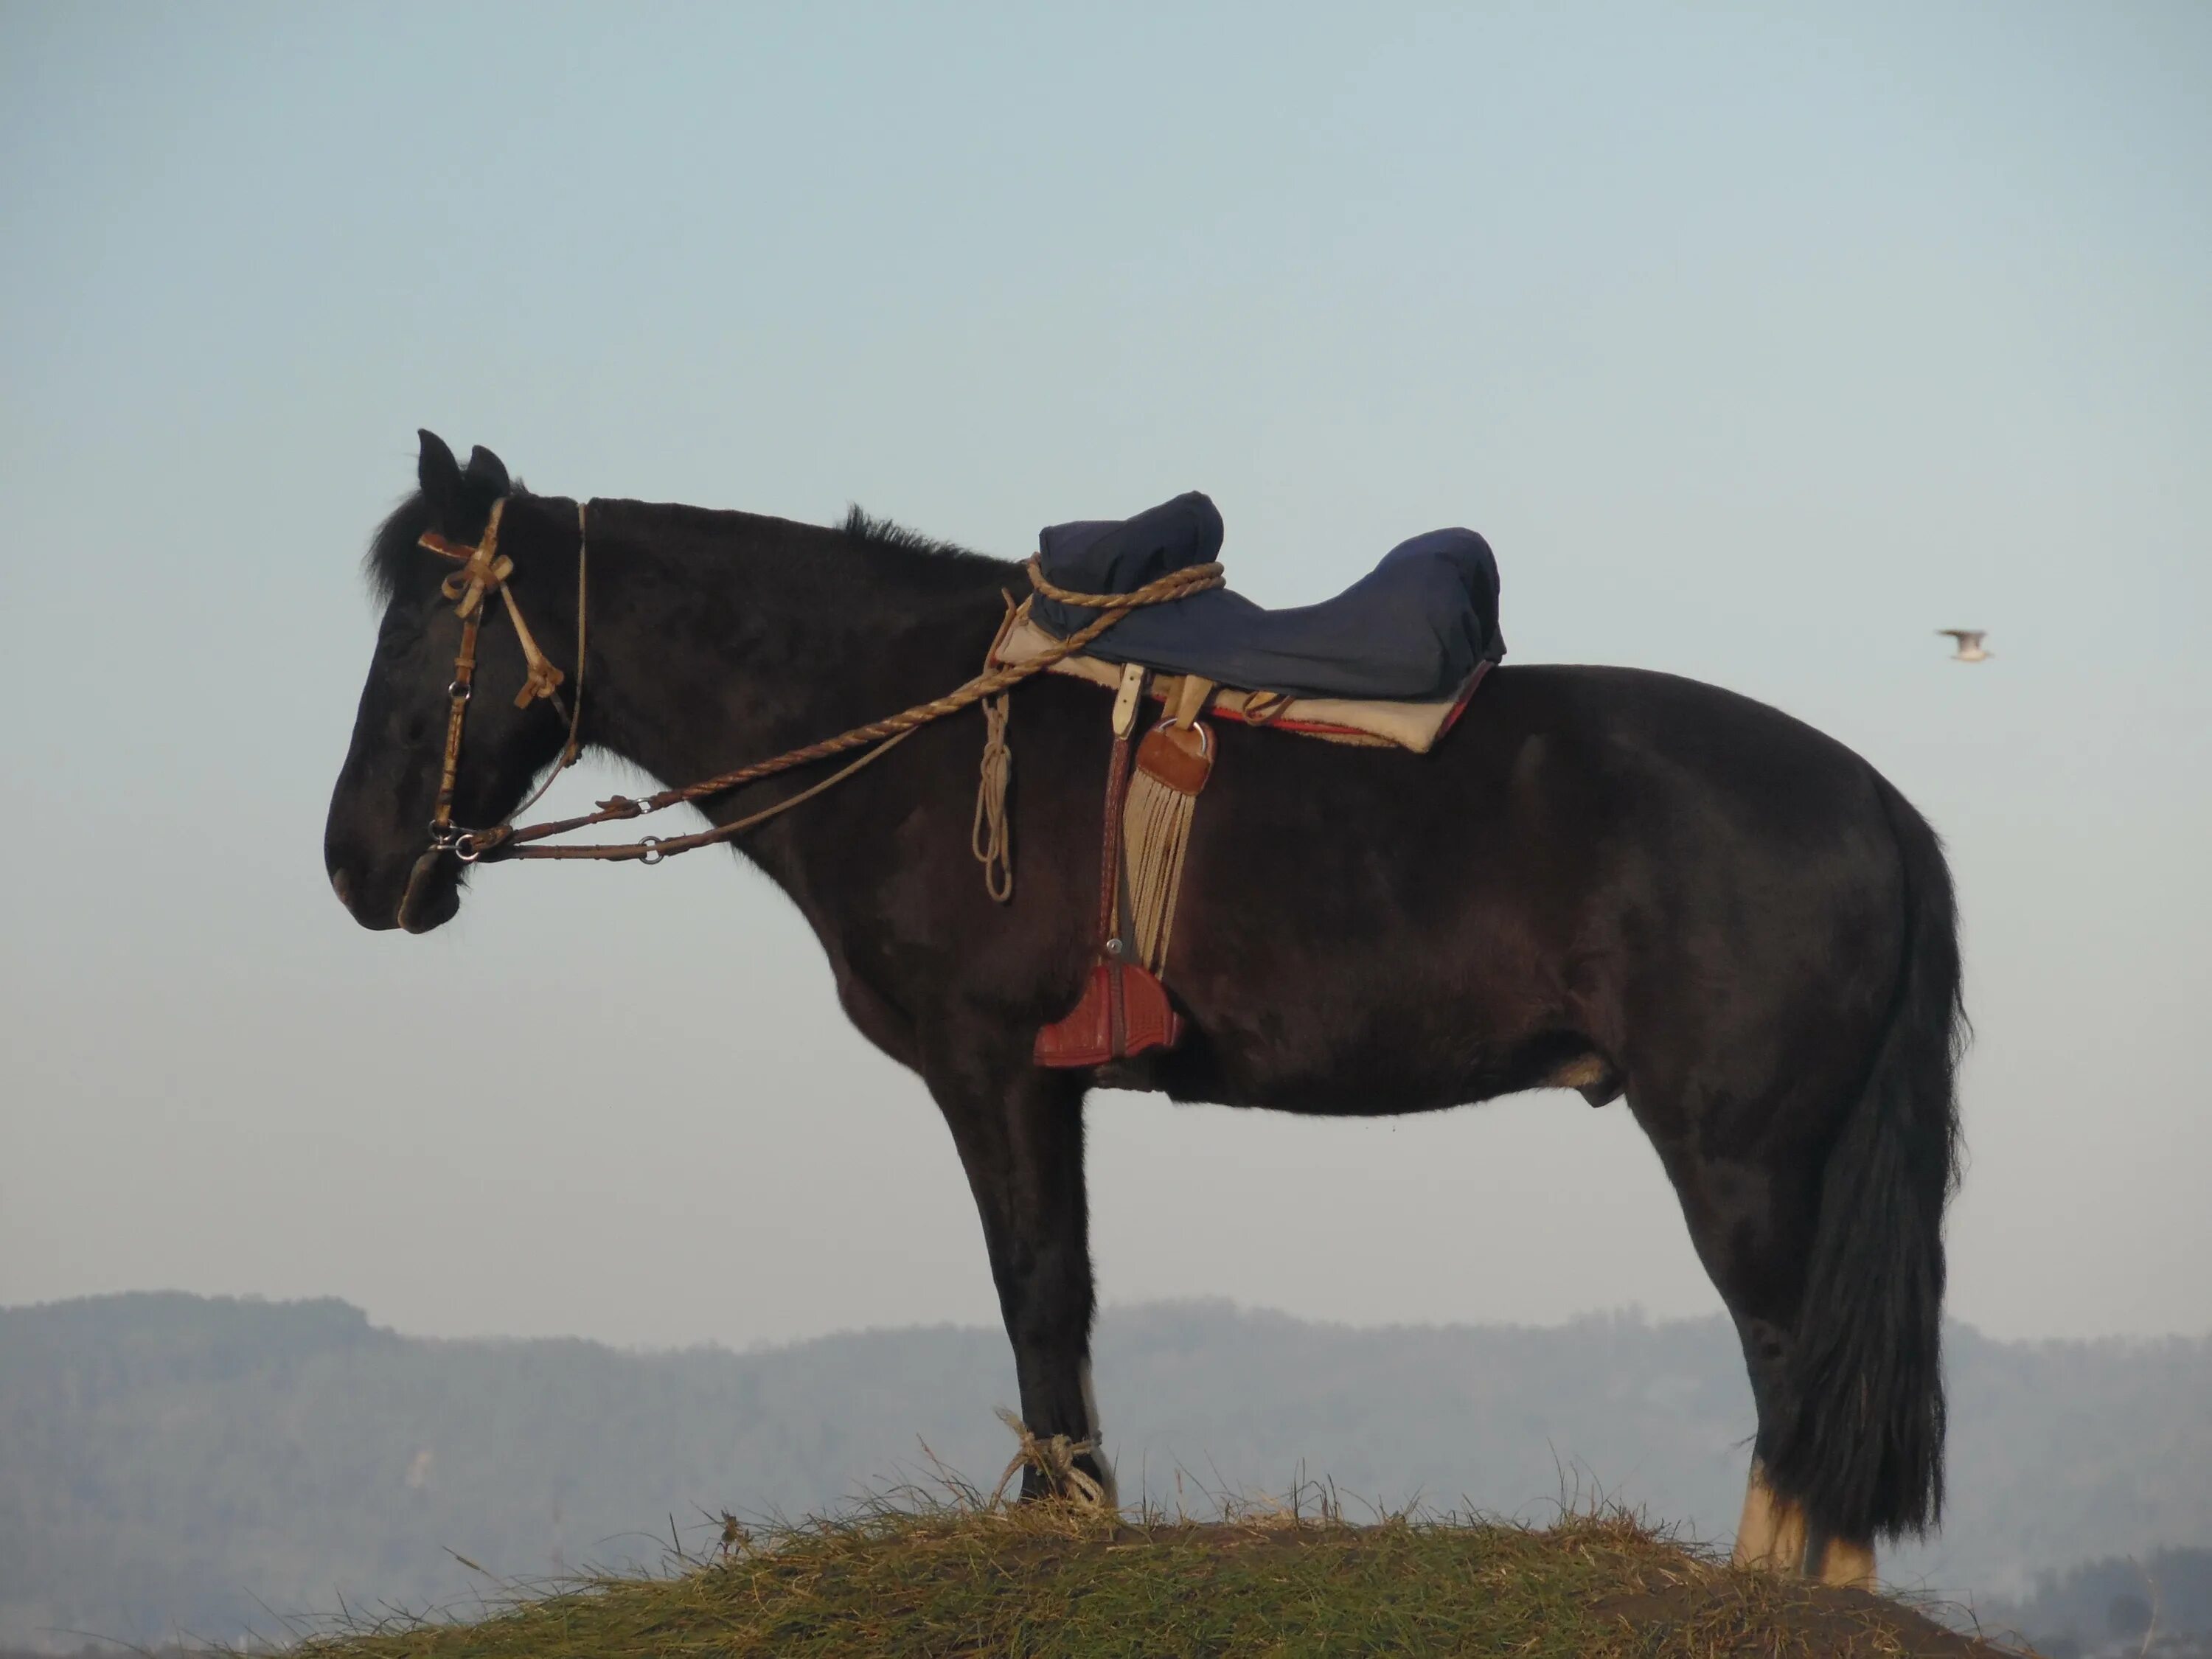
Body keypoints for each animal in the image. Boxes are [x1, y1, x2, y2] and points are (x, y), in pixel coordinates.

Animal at [323, 438, 1955, 1584]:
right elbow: (1064, 1290)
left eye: (431, 623)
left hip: (1740, 1155)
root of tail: (1876, 800)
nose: (356, 863)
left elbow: (1038, 1285)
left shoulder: (995, 1069)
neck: (911, 723)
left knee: (1795, 1359)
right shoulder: (1039, 1083)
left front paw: (1063, 1516)